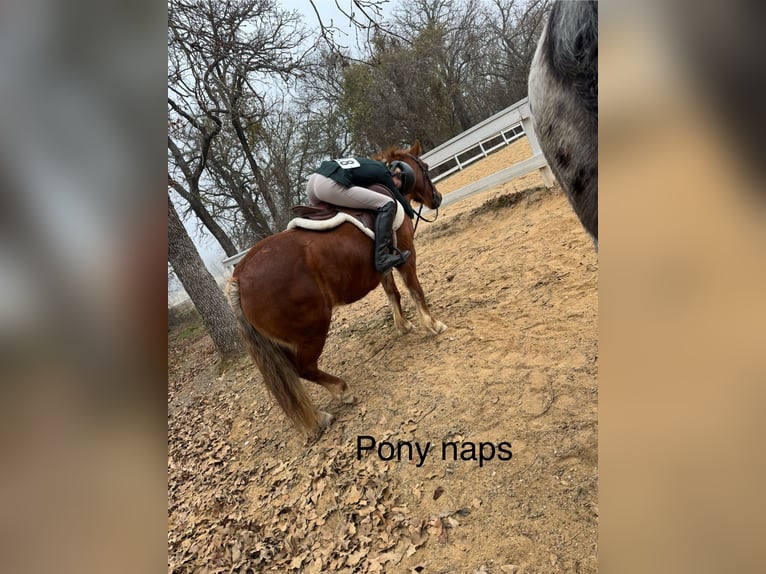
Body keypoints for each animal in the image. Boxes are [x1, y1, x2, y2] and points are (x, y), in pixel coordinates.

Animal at [225, 143, 448, 436]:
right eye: (424, 167)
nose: (438, 198)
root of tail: (239, 277)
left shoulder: (385, 263)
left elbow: (393, 293)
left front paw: (403, 325)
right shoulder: (406, 257)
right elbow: (415, 290)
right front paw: (432, 324)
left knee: (293, 373)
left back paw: (319, 416)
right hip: (311, 330)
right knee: (304, 368)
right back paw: (343, 392)